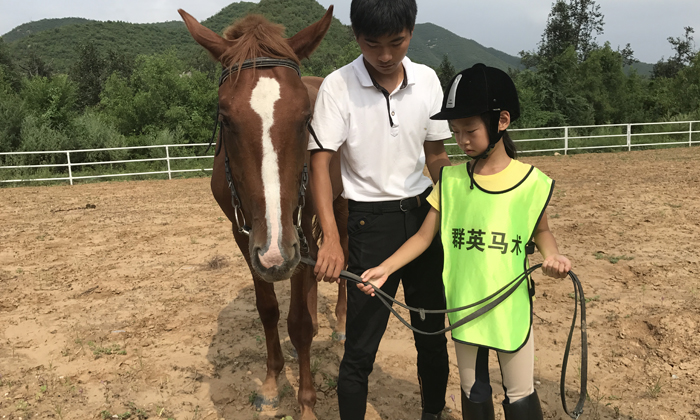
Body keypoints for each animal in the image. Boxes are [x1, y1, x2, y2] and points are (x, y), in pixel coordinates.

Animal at [178, 6, 348, 420]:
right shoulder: (246, 237)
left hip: (335, 208)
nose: (275, 254)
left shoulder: (291, 235)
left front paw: (306, 404)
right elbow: (268, 309)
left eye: (306, 117)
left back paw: (338, 324)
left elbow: (298, 324)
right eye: (225, 118)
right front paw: (271, 386)